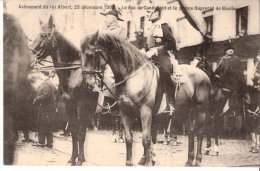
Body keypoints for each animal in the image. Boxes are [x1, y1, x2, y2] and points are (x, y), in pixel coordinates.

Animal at [31, 15, 98, 166]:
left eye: (43, 35)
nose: (30, 55)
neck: (73, 72)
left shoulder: (82, 106)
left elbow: (80, 133)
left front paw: (80, 160)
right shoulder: (69, 105)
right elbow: (74, 131)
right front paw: (73, 158)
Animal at [80, 31, 211, 166]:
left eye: (90, 55)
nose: (87, 83)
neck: (134, 76)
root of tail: (203, 74)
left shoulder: (145, 112)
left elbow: (146, 139)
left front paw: (148, 162)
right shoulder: (125, 112)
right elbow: (129, 138)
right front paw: (130, 163)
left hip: (200, 110)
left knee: (199, 133)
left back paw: (198, 160)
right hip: (184, 111)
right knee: (191, 132)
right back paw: (189, 161)